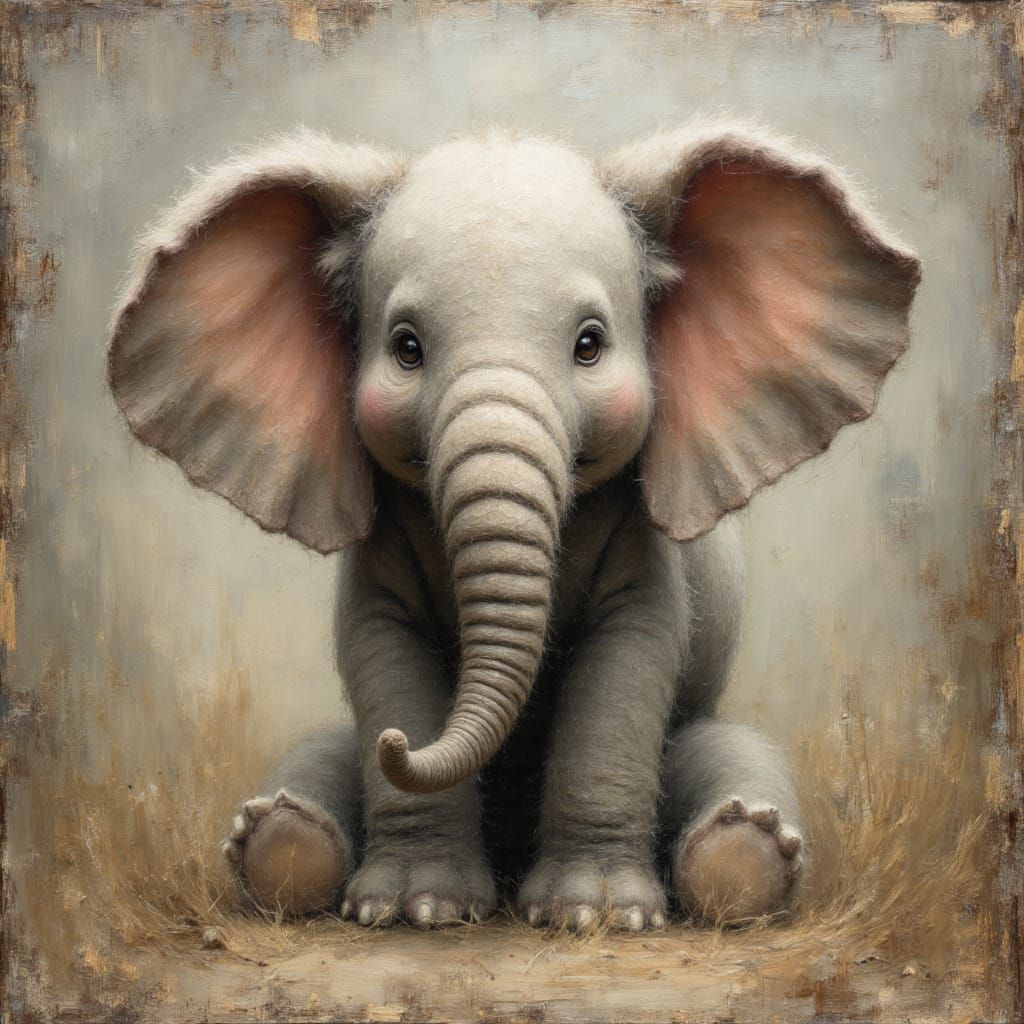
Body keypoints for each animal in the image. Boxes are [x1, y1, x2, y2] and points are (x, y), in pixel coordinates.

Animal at [107, 122, 920, 931]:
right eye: (406, 349)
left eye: (589, 346)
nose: (400, 747)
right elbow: (383, 648)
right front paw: (413, 909)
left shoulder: (643, 554)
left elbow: (627, 662)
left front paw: (595, 917)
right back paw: (282, 838)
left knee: (735, 754)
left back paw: (744, 848)